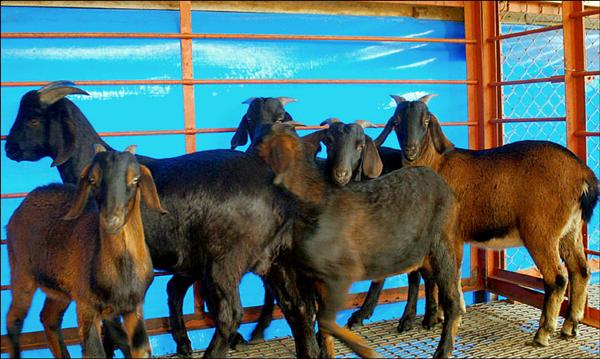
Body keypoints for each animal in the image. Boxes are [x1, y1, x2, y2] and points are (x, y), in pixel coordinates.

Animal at [5, 145, 168, 358]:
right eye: (92, 179)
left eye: (135, 179)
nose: (111, 220)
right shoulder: (87, 307)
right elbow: (94, 351)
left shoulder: (134, 307)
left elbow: (139, 349)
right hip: (22, 272)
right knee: (14, 319)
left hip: (61, 288)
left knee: (49, 317)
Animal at [255, 124, 462, 359]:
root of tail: (443, 185)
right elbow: (318, 320)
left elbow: (324, 321)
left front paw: (361, 348)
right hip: (421, 253)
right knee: (428, 279)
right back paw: (429, 318)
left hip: (443, 244)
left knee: (452, 298)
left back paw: (442, 348)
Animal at [372, 94, 596, 348]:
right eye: (397, 121)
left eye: (426, 120)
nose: (410, 149)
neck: (437, 165)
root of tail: (583, 174)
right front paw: (441, 316)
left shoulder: (450, 235)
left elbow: (448, 276)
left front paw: (447, 316)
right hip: (571, 230)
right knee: (581, 271)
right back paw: (569, 327)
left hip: (541, 232)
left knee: (557, 279)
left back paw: (543, 333)